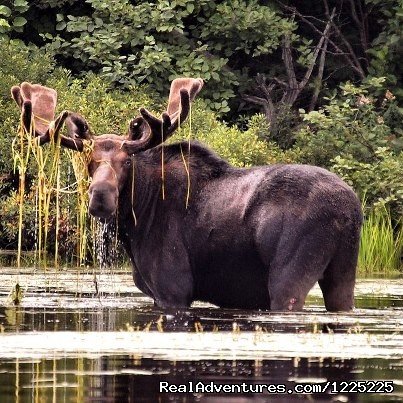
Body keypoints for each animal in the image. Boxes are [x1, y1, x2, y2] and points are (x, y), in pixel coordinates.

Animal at [11, 79, 362, 312]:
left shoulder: (173, 288)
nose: (101, 197)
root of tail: (350, 210)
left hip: (289, 274)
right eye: (89, 160)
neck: (135, 223)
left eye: (127, 162)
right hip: (343, 271)